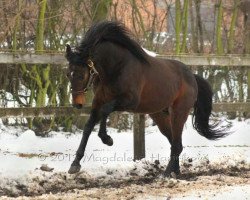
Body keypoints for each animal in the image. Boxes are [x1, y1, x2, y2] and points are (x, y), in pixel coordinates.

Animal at [65, 21, 229, 176]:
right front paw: (75, 164)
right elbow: (88, 126)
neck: (116, 68)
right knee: (175, 143)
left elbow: (105, 111)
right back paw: (175, 171)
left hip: (179, 113)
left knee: (176, 144)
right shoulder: (98, 101)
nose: (77, 103)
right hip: (160, 116)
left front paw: (107, 139)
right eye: (68, 74)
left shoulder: (129, 101)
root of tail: (192, 77)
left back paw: (167, 173)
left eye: (81, 74)